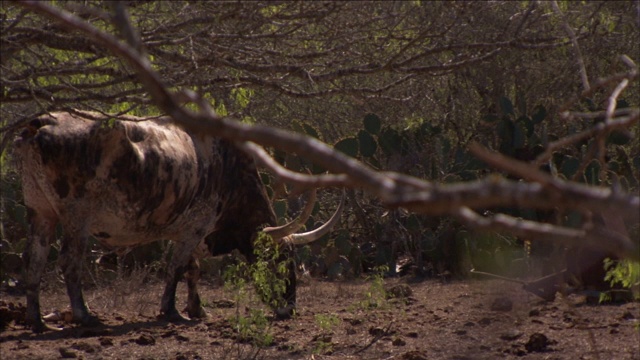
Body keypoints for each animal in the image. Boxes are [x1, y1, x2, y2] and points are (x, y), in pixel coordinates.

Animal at [15, 109, 342, 332]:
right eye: (279, 261)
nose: (290, 309)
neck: (229, 168)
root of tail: (45, 122)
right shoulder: (194, 229)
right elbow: (176, 268)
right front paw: (171, 311)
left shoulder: (191, 232)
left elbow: (191, 270)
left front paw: (197, 309)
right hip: (76, 220)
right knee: (69, 262)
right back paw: (84, 315)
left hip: (40, 212)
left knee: (34, 260)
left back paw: (37, 320)